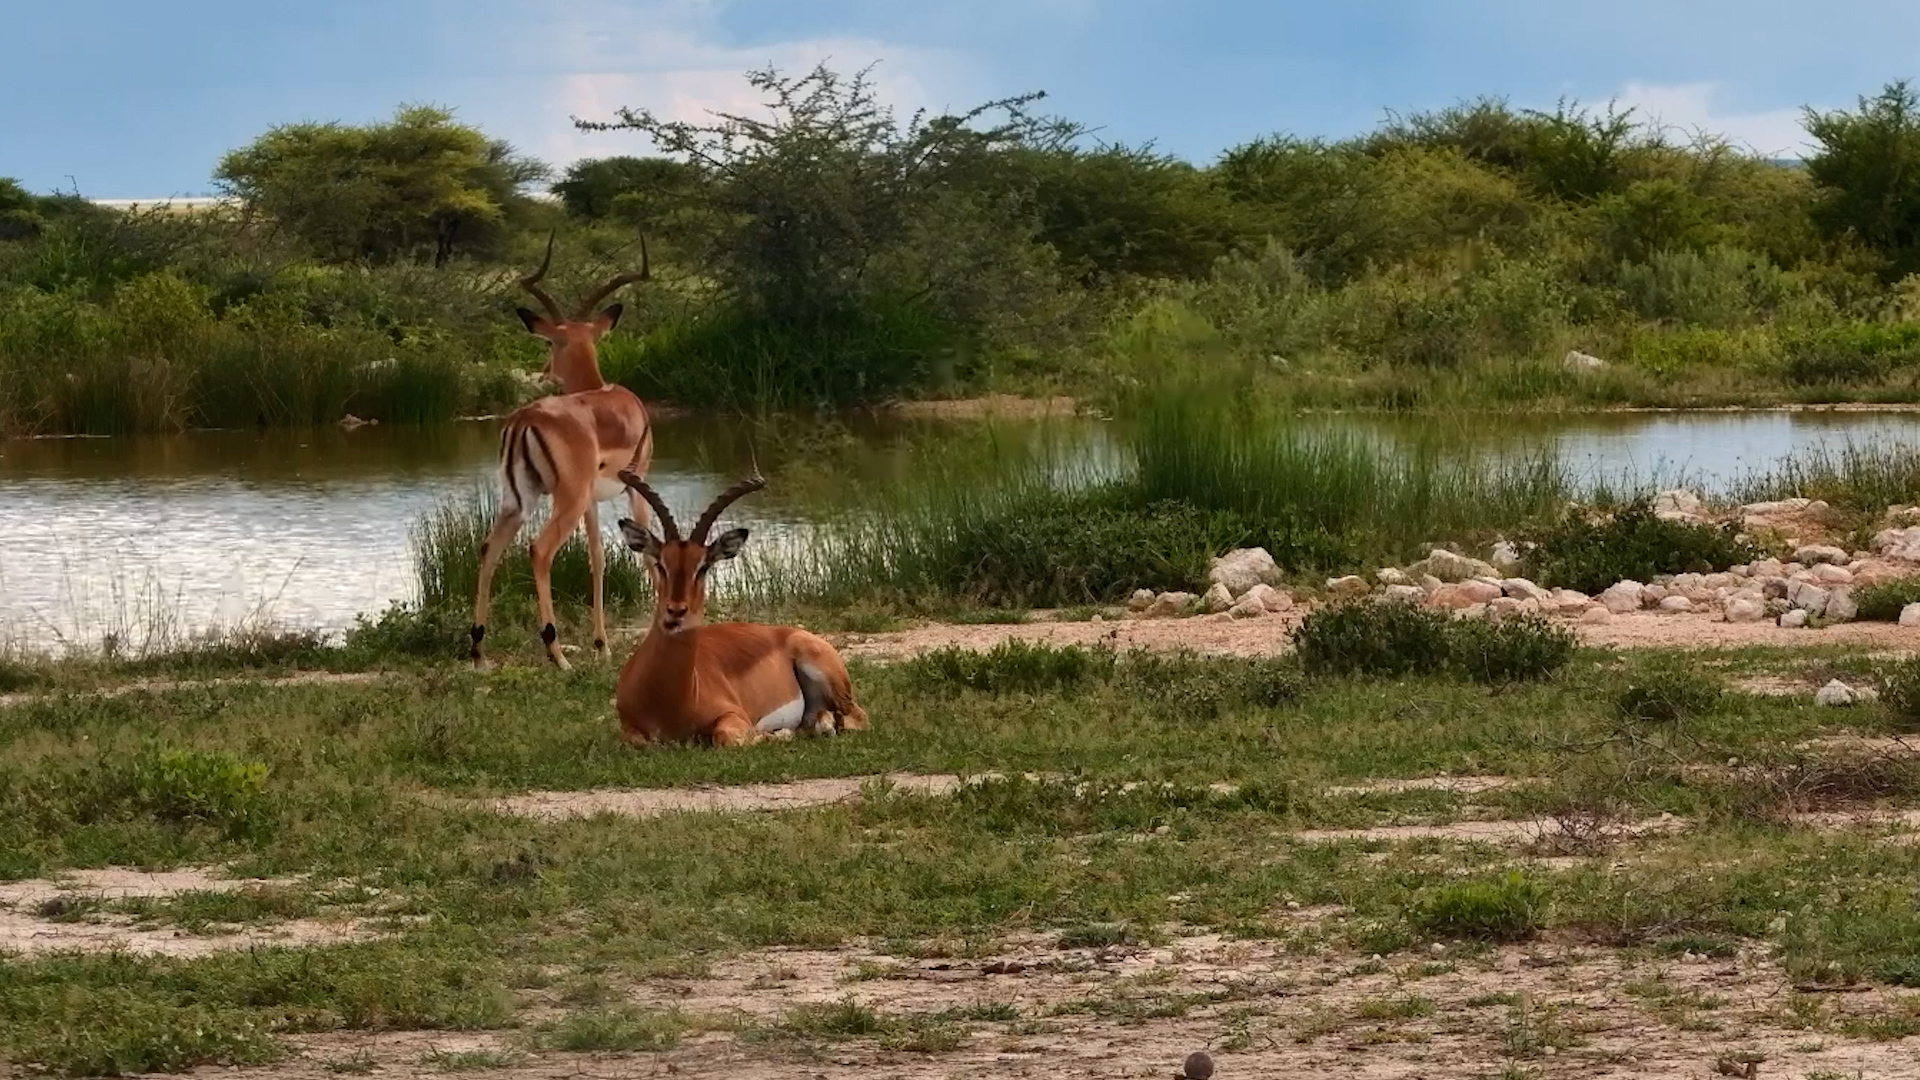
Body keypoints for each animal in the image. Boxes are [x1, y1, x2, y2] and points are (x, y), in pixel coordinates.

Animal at [470, 235, 653, 670]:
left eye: (553, 340)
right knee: (539, 550)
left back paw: (479, 651)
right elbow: (649, 551)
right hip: (565, 500)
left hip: (520, 500)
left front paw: (602, 646)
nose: (542, 369)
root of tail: (525, 418)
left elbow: (597, 557)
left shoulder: (593, 501)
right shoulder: (637, 485)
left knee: (489, 548)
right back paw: (556, 654)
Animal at [611, 472, 871, 748]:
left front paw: (778, 734)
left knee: (857, 719)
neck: (671, 700)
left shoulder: (734, 715)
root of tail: (789, 633)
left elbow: (726, 737)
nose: (676, 611)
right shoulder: (629, 729)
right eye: (661, 563)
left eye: (703, 566)